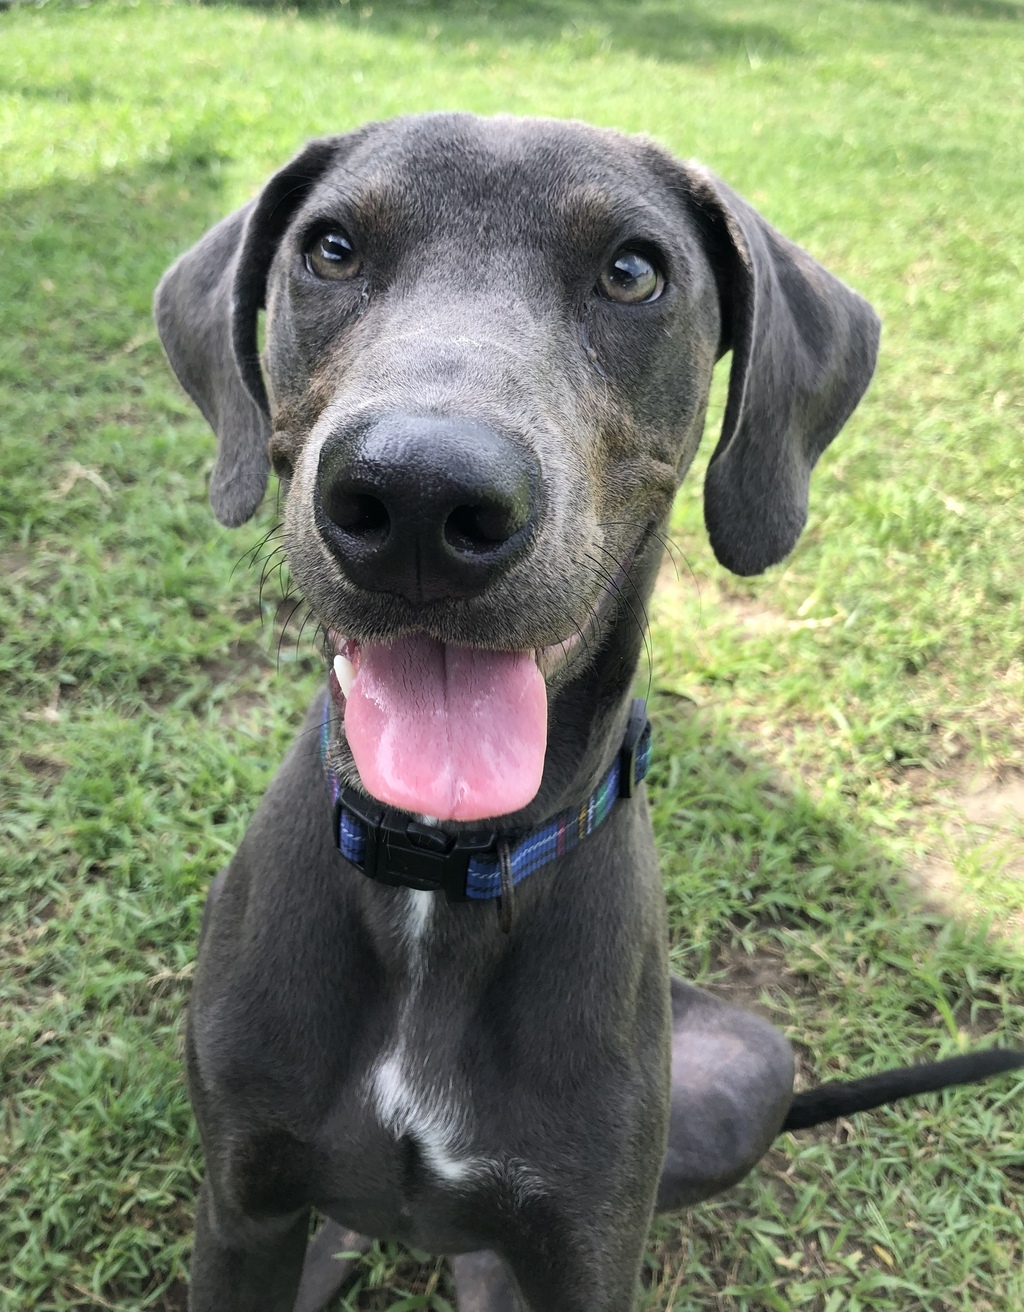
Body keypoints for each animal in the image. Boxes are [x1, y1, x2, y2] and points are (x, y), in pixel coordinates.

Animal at [154, 113, 1024, 1312]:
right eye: (329, 249)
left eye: (632, 271)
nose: (418, 495)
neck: (441, 872)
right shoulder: (241, 1206)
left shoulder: (588, 1245)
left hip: (749, 1070)